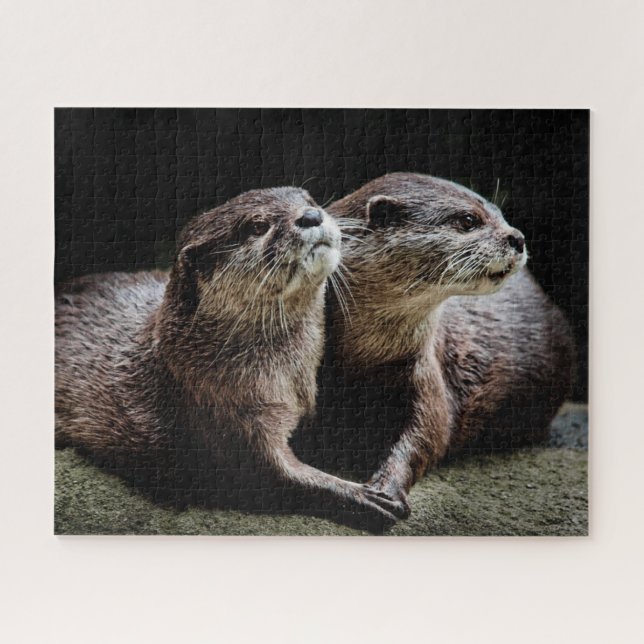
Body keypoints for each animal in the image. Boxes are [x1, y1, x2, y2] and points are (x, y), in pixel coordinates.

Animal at [55, 187, 403, 529]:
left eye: (310, 200)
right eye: (258, 226)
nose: (311, 216)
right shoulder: (226, 413)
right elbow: (272, 475)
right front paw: (363, 495)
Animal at [293, 173, 574, 517]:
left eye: (500, 214)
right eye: (468, 220)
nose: (518, 238)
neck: (363, 357)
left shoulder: (426, 371)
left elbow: (428, 435)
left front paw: (387, 487)